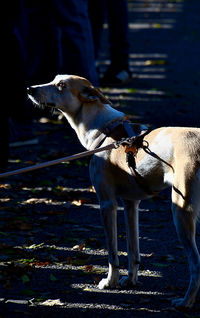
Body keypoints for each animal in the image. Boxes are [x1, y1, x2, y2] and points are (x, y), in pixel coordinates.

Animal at [27, 74, 200, 308]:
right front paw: (130, 280)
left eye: (61, 85)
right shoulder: (131, 204)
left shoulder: (107, 204)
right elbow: (133, 250)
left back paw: (186, 301)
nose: (30, 89)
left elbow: (112, 252)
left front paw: (111, 282)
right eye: (53, 79)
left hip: (181, 210)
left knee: (195, 263)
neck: (104, 131)